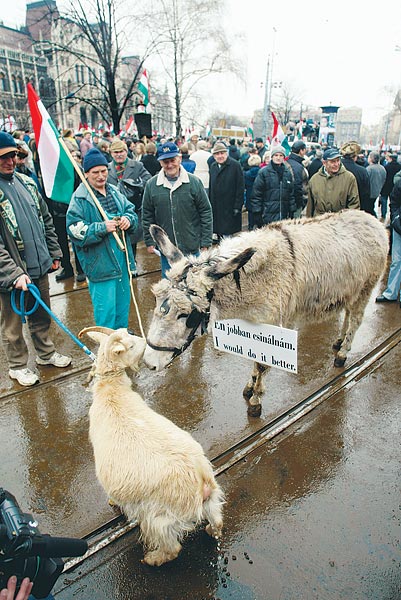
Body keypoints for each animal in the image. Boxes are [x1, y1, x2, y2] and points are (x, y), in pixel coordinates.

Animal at [78, 326, 222, 564]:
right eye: (131, 344)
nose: (146, 342)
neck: (112, 392)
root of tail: (202, 480)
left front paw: (112, 502)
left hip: (158, 517)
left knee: (172, 547)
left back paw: (153, 559)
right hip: (211, 500)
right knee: (217, 520)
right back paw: (212, 530)